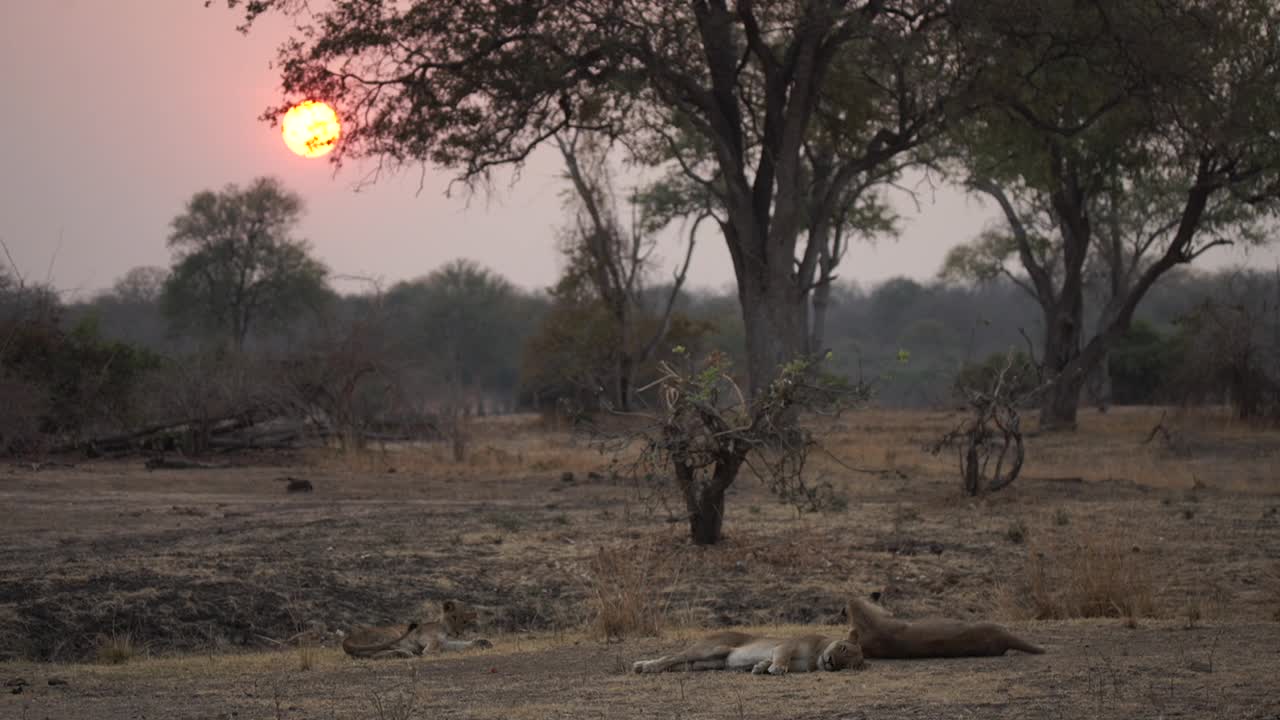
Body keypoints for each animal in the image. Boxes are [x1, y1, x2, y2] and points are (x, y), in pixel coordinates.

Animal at [340, 597, 488, 661]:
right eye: (453, 617)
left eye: (464, 621)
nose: (458, 632)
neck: (445, 630)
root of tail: (347, 640)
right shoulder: (422, 636)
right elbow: (433, 645)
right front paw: (430, 652)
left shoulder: (447, 642)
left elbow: (460, 644)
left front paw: (482, 642)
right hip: (391, 634)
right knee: (375, 653)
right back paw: (406, 653)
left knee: (370, 655)